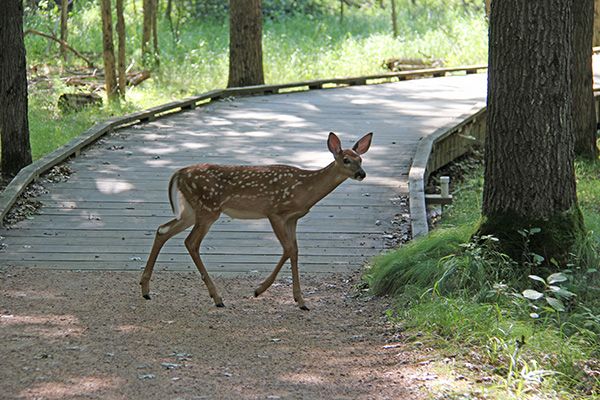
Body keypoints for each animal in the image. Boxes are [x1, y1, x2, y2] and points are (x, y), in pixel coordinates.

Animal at [141, 131, 372, 310]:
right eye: (346, 160)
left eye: (360, 159)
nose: (362, 174)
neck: (304, 189)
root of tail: (179, 173)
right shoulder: (274, 212)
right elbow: (289, 249)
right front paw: (259, 290)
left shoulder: (293, 219)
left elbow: (294, 251)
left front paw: (300, 300)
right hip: (208, 209)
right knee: (190, 242)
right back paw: (217, 297)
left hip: (190, 211)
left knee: (162, 230)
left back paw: (145, 289)